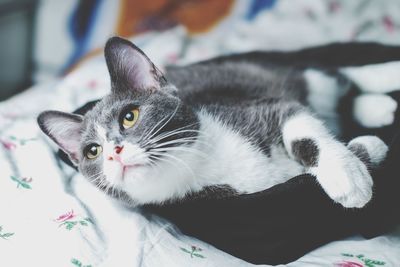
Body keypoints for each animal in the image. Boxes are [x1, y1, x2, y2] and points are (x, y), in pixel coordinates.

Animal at [36, 37, 388, 209]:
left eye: (129, 116)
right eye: (93, 151)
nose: (114, 153)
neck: (202, 165)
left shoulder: (263, 107)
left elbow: (302, 127)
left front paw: (347, 175)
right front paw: (366, 148)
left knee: (330, 75)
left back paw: (383, 79)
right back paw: (377, 108)